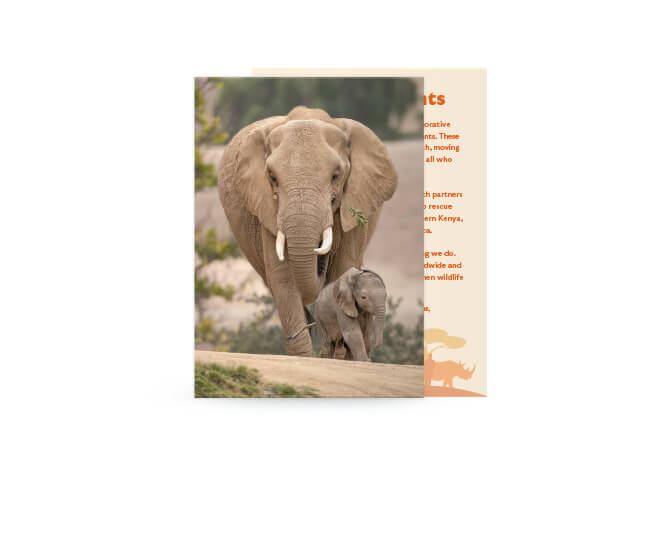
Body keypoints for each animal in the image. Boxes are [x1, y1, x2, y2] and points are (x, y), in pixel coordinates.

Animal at [218, 106, 397, 357]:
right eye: (272, 177)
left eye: (336, 175)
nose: (320, 259)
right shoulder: (268, 209)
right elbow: (283, 280)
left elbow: (344, 267)